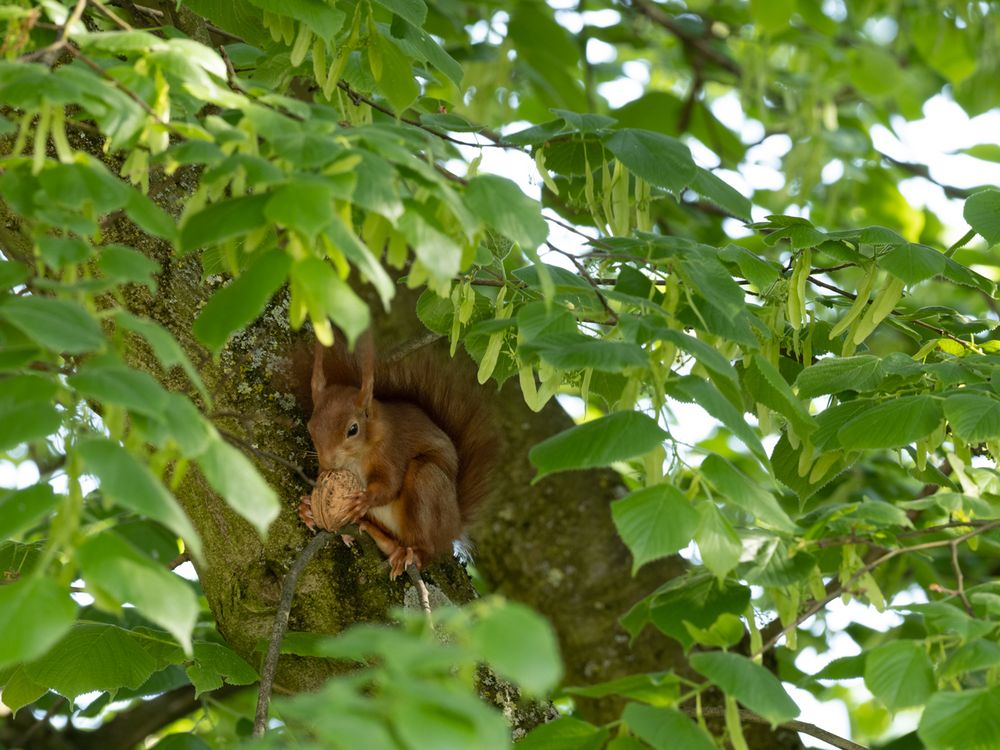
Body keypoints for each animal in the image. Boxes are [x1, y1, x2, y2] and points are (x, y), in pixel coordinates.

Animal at [298, 336, 498, 580]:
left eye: (353, 429)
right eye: (311, 427)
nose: (328, 463)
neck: (355, 459)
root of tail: (455, 526)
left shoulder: (392, 451)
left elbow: (390, 485)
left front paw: (364, 499)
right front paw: (307, 505)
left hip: (428, 485)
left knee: (428, 548)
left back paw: (413, 554)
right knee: (390, 543)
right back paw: (369, 532)